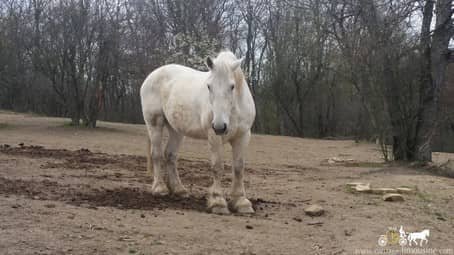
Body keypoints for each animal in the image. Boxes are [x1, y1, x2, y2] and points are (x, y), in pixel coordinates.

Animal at [140, 50, 255, 214]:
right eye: (209, 86)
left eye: (232, 86)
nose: (220, 126)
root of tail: (153, 74)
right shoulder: (214, 137)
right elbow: (217, 167)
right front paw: (218, 202)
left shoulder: (243, 136)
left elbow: (239, 167)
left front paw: (241, 202)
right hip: (155, 123)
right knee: (156, 154)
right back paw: (160, 188)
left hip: (176, 130)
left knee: (170, 155)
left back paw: (179, 190)